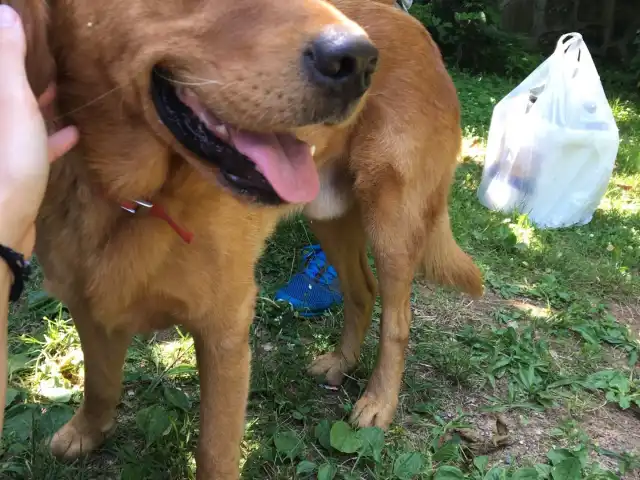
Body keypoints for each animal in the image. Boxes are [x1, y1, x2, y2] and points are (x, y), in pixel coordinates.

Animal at [12, 0, 482, 476]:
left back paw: (378, 402)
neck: (130, 197)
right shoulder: (89, 304)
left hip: (392, 224)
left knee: (398, 322)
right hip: (329, 217)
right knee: (361, 291)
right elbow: (100, 382)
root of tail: (417, 29)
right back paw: (341, 361)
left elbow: (214, 449)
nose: (358, 61)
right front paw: (86, 431)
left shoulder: (225, 329)